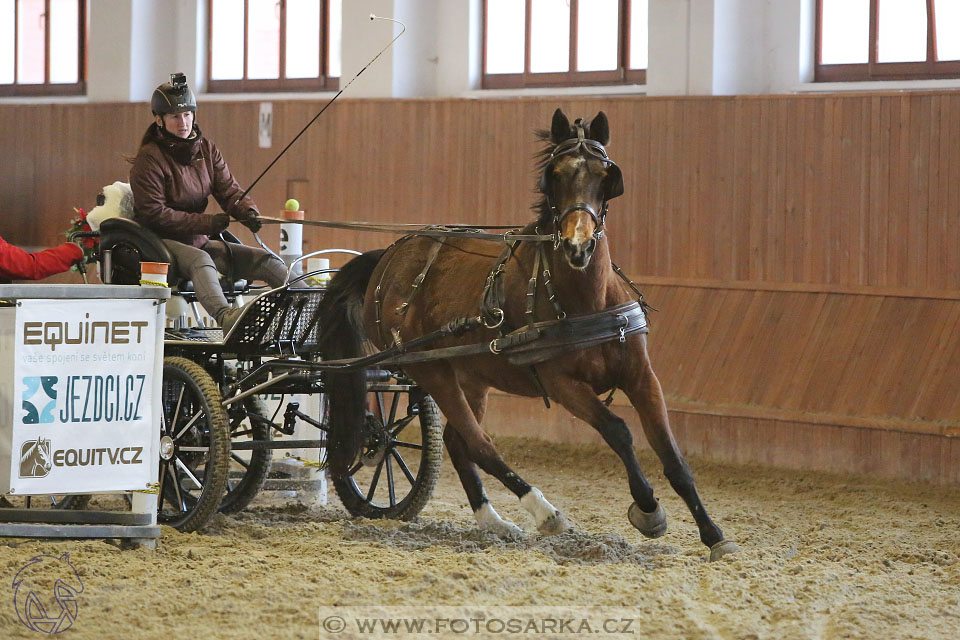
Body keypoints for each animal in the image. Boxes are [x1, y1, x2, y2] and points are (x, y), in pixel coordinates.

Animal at [318, 109, 740, 560]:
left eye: (604, 175)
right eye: (554, 176)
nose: (578, 246)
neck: (585, 298)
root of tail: (387, 258)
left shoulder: (642, 376)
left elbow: (674, 457)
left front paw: (713, 534)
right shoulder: (561, 383)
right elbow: (618, 431)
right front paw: (647, 508)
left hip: (471, 376)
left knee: (456, 440)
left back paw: (494, 522)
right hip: (432, 371)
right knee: (479, 443)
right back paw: (544, 512)